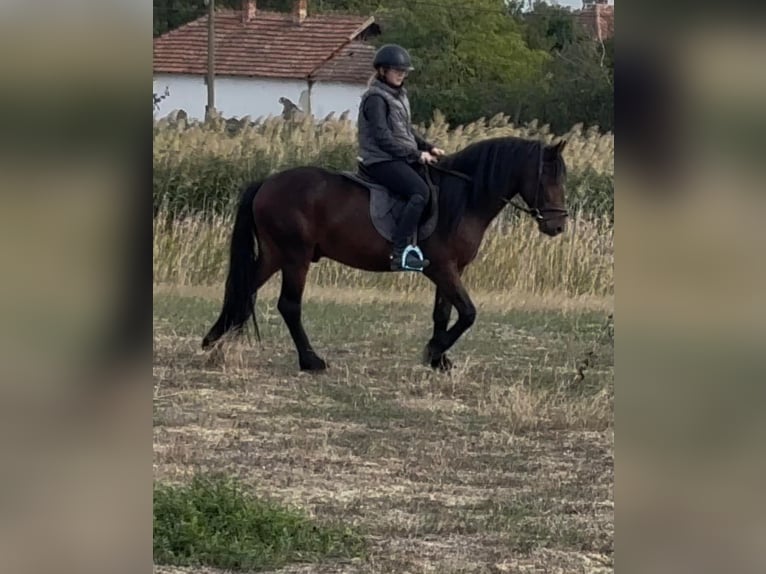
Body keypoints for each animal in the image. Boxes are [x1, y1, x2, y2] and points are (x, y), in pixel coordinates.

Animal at [201, 136, 569, 371]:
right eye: (547, 179)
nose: (557, 226)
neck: (463, 198)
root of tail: (266, 183)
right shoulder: (442, 268)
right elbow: (467, 313)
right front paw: (434, 351)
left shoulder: (451, 270)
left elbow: (443, 313)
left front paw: (439, 360)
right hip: (295, 257)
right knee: (289, 305)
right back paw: (311, 361)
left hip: (274, 254)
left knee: (242, 289)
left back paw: (213, 343)